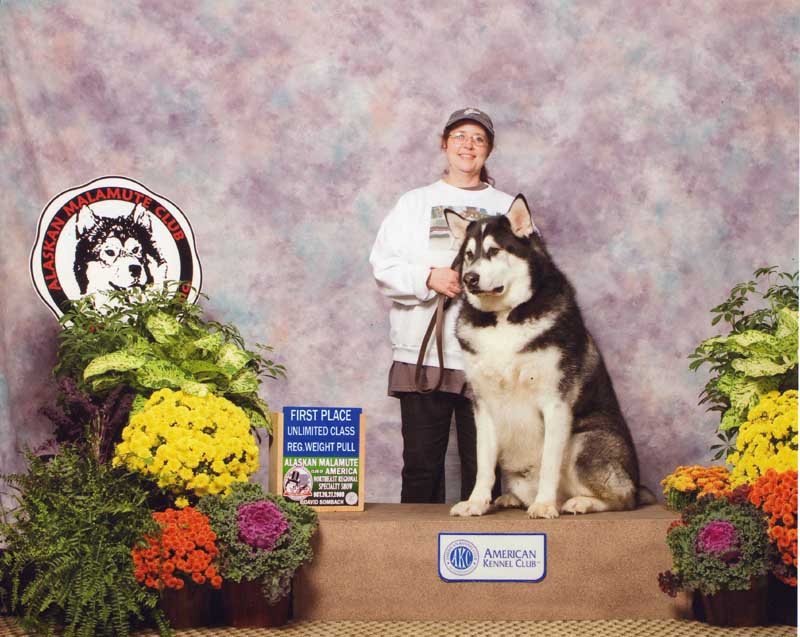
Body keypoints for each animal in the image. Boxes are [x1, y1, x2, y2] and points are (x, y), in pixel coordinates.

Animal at [440, 195, 652, 516]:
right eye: (468, 255)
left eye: (494, 250)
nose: (469, 278)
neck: (504, 318)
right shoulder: (483, 405)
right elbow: (483, 464)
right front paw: (476, 502)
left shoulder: (555, 403)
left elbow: (550, 463)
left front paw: (543, 506)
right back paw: (512, 498)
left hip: (584, 441)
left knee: (624, 498)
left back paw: (579, 502)